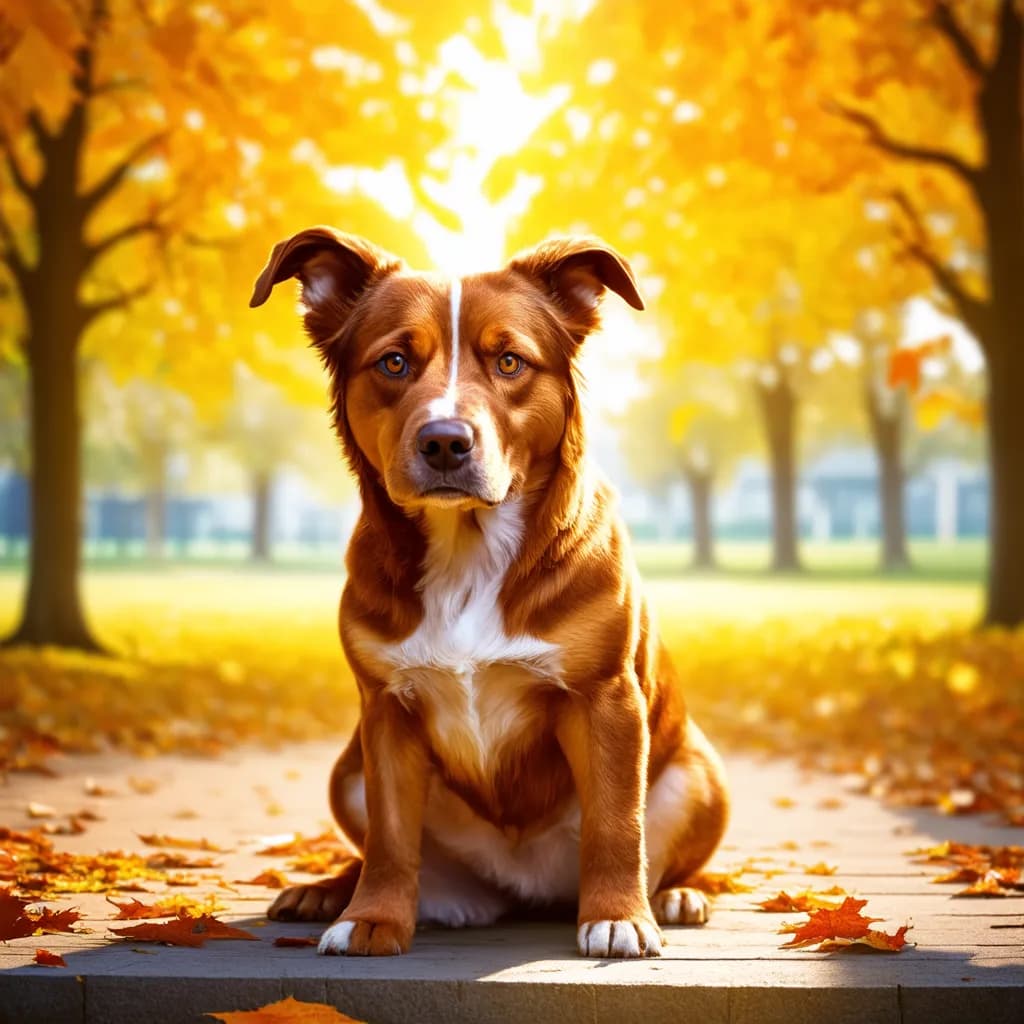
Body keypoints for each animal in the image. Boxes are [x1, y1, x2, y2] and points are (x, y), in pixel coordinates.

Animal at [247, 230, 729, 958]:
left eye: (509, 361)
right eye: (393, 362)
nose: (446, 441)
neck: (467, 555)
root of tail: (520, 887)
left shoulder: (607, 699)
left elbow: (617, 823)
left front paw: (619, 916)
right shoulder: (385, 714)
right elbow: (390, 840)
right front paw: (371, 918)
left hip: (701, 775)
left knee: (660, 847)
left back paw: (674, 896)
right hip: (347, 770)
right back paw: (333, 892)